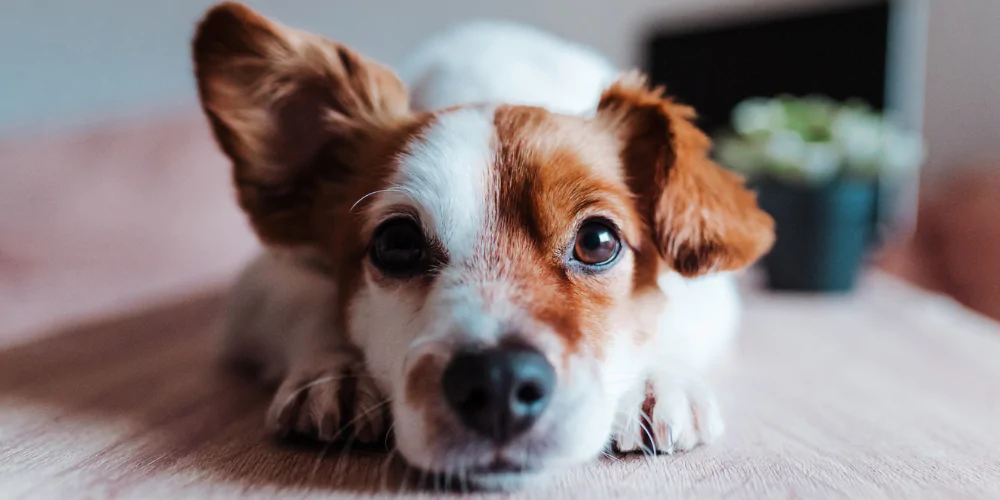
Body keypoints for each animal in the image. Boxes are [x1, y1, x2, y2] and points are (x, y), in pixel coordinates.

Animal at [193, 1, 772, 490]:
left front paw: (656, 378)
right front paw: (337, 370)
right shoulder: (263, 279)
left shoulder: (712, 289)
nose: (498, 383)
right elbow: (308, 303)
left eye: (598, 240)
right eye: (396, 243)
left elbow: (671, 313)